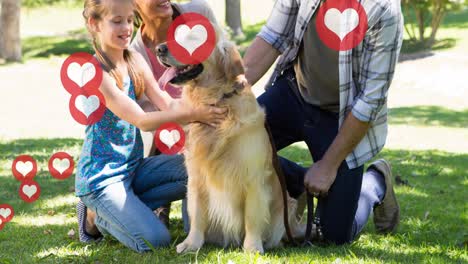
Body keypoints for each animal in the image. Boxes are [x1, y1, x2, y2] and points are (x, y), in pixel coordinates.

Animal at [157, 33, 304, 254]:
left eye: (193, 36)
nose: (159, 49)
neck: (218, 100)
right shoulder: (196, 177)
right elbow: (197, 214)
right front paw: (192, 244)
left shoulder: (254, 178)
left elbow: (252, 217)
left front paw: (252, 247)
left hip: (288, 206)